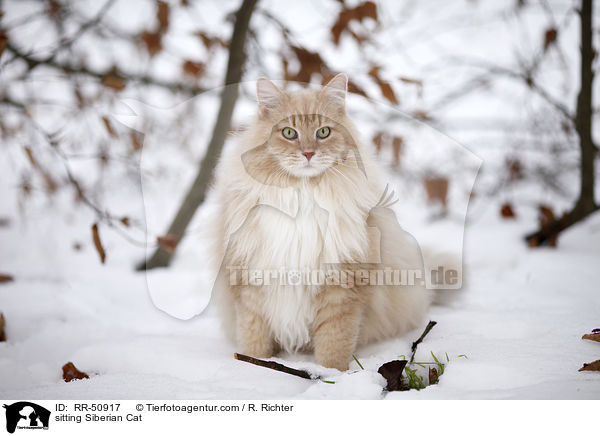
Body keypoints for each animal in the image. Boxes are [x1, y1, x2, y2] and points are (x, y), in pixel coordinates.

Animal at [211, 73, 432, 370]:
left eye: (323, 132)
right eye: (289, 133)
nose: (308, 153)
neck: (302, 197)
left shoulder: (343, 287)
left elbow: (333, 345)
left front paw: (331, 375)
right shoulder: (249, 283)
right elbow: (254, 340)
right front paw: (255, 365)